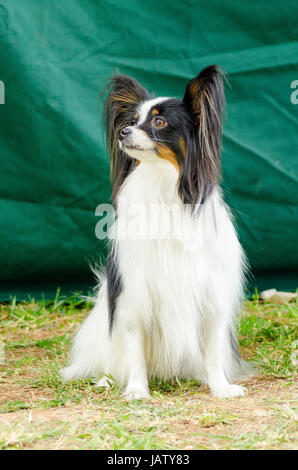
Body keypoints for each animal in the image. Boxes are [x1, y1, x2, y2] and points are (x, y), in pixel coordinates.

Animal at [62, 64, 254, 398]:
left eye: (159, 122)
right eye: (131, 121)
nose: (123, 132)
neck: (161, 181)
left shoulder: (211, 296)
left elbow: (213, 352)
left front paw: (220, 388)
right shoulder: (134, 296)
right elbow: (135, 350)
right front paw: (137, 391)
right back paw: (107, 379)